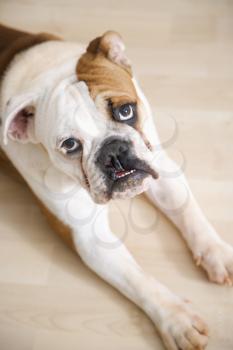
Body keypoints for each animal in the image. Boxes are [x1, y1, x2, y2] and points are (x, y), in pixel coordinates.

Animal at [0, 24, 233, 350]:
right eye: (69, 145)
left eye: (126, 111)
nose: (112, 152)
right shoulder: (90, 239)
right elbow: (138, 280)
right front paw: (177, 319)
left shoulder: (160, 166)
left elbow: (187, 210)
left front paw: (216, 252)